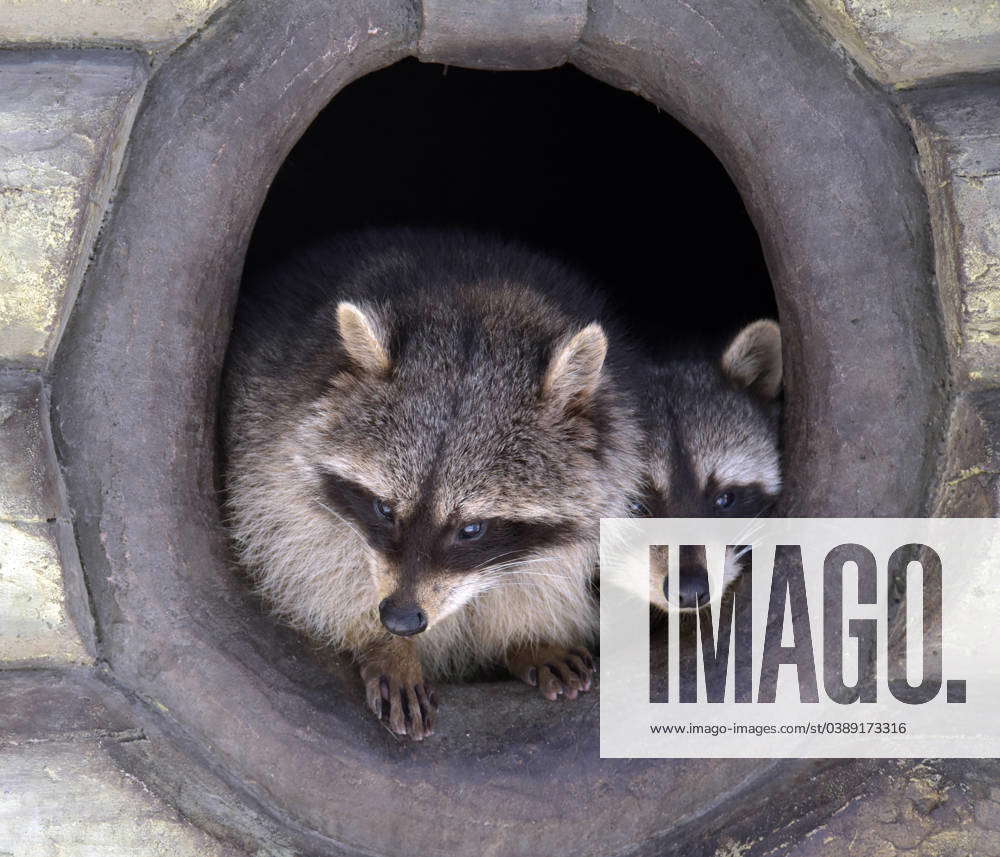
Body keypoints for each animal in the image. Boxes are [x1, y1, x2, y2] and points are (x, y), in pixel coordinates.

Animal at [221, 227, 640, 736]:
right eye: (384, 509)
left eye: (471, 529)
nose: (399, 620)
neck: (475, 299)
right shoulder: (270, 441)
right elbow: (300, 558)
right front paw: (382, 643)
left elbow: (552, 567)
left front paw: (531, 633)